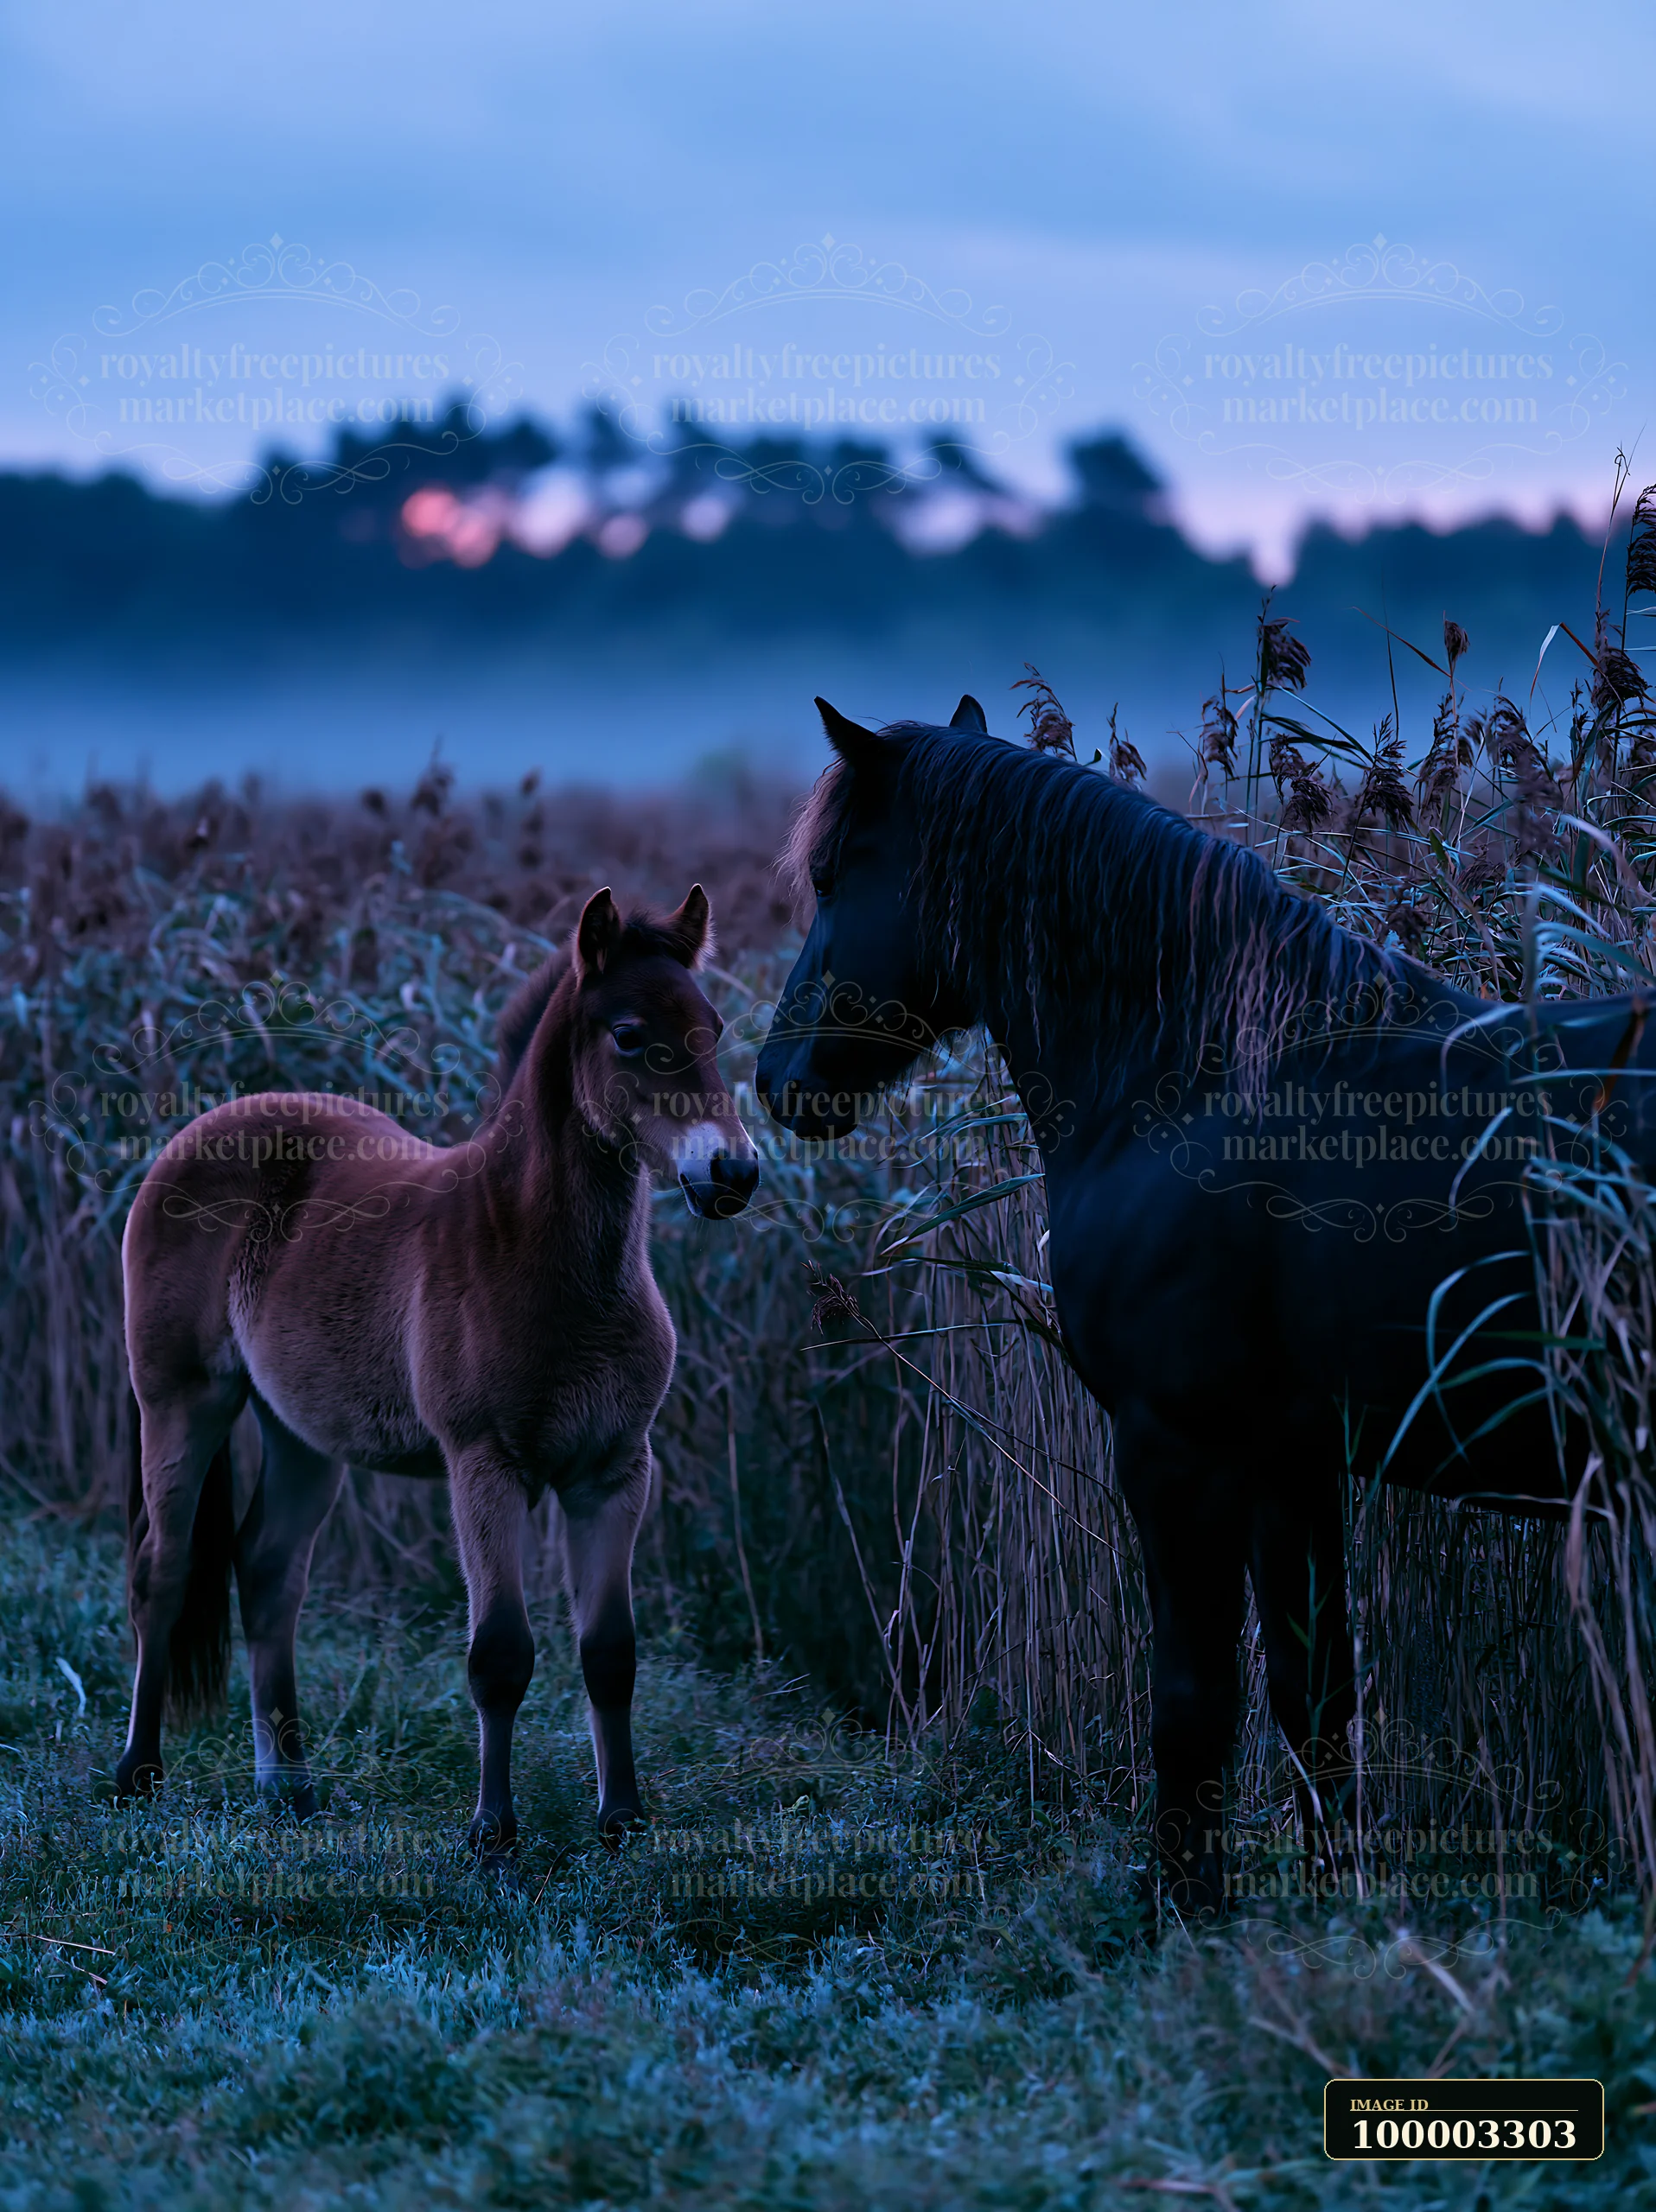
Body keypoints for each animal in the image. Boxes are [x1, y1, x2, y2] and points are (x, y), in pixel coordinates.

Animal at [117, 884, 759, 1867]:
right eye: (627, 1033)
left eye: (712, 1026)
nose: (730, 1171)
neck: (537, 1254)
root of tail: (198, 1131)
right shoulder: (482, 1465)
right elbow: (499, 1653)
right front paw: (492, 1830)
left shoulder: (614, 1470)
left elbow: (610, 1651)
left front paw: (623, 1819)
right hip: (181, 1398)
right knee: (165, 1564)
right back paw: (138, 1773)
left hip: (301, 1433)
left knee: (267, 1573)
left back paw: (289, 1791)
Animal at [756, 698, 1656, 1913]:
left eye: (837, 871)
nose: (778, 1078)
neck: (1195, 1079)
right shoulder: (1290, 1458)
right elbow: (1312, 1697)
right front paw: (1331, 1909)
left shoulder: (1176, 1447)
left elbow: (1190, 1703)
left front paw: (1182, 1913)